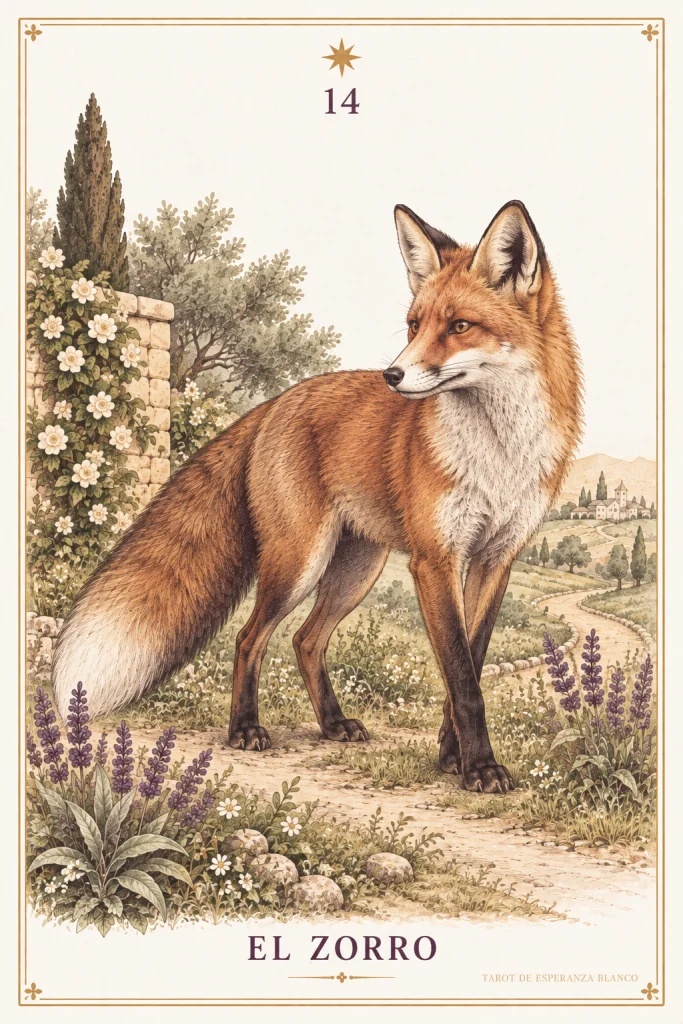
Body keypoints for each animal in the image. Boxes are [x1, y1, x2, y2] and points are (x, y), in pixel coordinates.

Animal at [52, 200, 582, 794]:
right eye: (414, 325)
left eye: (460, 326)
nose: (393, 374)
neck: (498, 456)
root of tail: (278, 401)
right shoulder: (435, 559)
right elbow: (463, 680)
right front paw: (481, 767)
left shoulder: (495, 559)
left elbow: (466, 665)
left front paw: (453, 757)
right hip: (299, 561)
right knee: (249, 638)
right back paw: (244, 729)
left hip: (357, 567)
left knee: (305, 640)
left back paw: (332, 723)